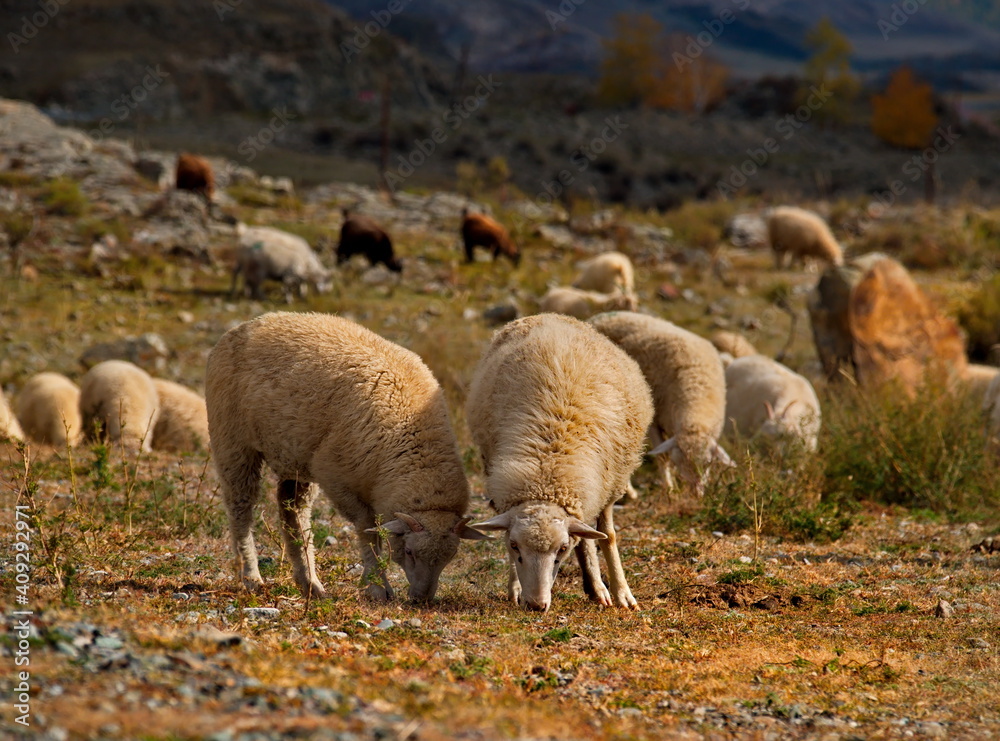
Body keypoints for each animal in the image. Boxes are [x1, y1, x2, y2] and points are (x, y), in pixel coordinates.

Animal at [205, 312, 487, 602]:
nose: (422, 599)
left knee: (292, 511)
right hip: (232, 440)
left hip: (295, 455)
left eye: (450, 557)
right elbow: (367, 529)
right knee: (241, 508)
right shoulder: (335, 477)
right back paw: (251, 577)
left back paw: (309, 582)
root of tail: (245, 325)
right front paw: (376, 585)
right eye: (409, 551)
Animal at [467, 314, 654, 612]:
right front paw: (515, 588)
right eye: (514, 546)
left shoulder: (610, 485)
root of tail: (547, 315)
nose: (535, 605)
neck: (549, 466)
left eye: (562, 550)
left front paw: (622, 592)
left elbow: (608, 536)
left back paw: (598, 588)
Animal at [588, 311, 733, 495]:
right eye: (679, 462)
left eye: (708, 463)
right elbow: (662, 457)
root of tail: (601, 316)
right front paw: (670, 487)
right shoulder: (655, 421)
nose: (696, 493)